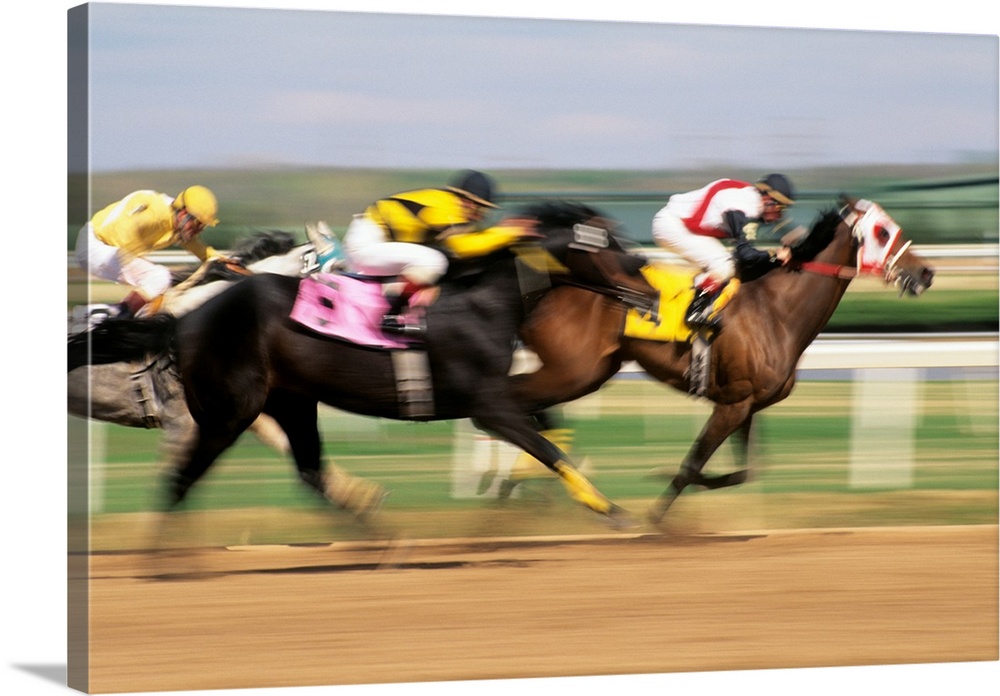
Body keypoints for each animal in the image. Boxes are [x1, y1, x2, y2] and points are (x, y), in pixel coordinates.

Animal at [72, 204, 664, 524]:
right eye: (606, 244)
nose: (652, 290)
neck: (482, 303)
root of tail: (185, 321)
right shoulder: (488, 405)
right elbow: (543, 444)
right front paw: (610, 509)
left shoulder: (505, 396)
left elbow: (547, 436)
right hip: (234, 407)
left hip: (280, 399)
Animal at [512, 196, 932, 520]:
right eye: (882, 232)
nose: (926, 272)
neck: (777, 311)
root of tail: (556, 283)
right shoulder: (732, 403)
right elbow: (693, 463)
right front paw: (656, 517)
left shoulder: (747, 403)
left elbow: (747, 471)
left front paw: (674, 481)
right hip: (574, 371)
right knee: (517, 401)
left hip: (592, 371)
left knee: (531, 408)